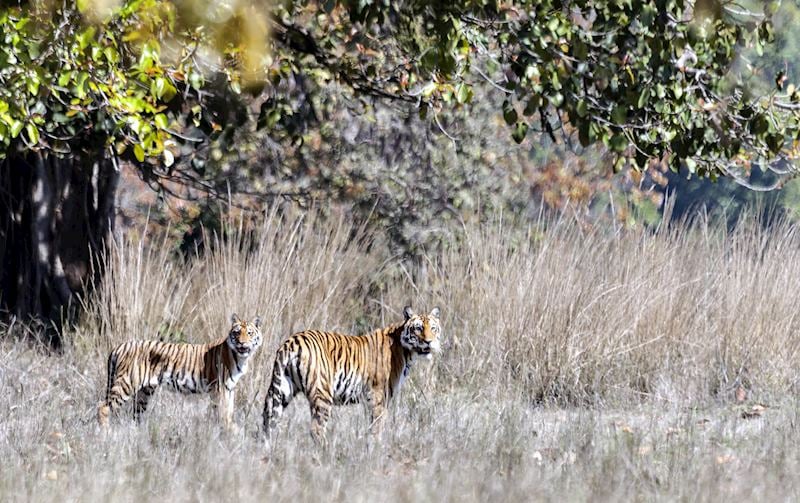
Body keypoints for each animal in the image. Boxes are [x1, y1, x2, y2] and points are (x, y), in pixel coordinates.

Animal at [97, 316, 262, 430]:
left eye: (249, 333)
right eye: (236, 333)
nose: (241, 342)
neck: (241, 357)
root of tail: (119, 346)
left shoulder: (229, 388)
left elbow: (228, 411)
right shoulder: (220, 388)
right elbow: (224, 412)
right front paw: (231, 432)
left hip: (144, 392)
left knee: (135, 414)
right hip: (126, 383)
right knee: (103, 407)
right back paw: (106, 434)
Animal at [262, 306, 440, 442]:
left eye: (433, 328)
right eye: (418, 328)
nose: (429, 342)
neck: (406, 351)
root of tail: (292, 341)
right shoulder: (378, 395)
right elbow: (377, 426)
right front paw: (377, 448)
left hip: (280, 390)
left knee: (268, 421)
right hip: (322, 393)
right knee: (316, 429)